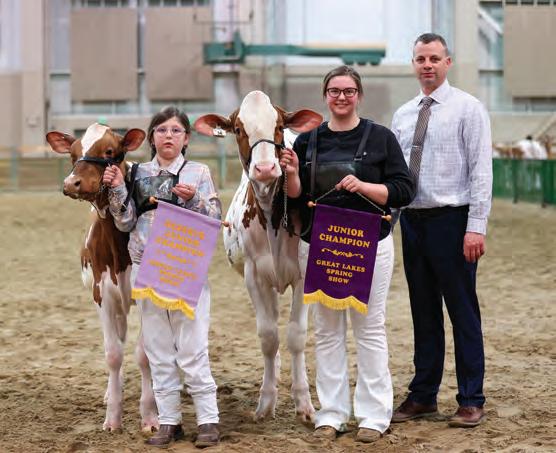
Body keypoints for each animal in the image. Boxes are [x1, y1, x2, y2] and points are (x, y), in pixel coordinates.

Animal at [46, 123, 158, 433]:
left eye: (109, 151)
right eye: (73, 153)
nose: (72, 183)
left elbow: (144, 354)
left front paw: (150, 416)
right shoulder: (103, 295)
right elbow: (113, 353)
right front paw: (113, 416)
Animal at [194, 91, 322, 422]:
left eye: (277, 126)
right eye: (239, 129)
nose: (265, 169)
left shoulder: (304, 275)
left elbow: (296, 335)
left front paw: (304, 403)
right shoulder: (254, 276)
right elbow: (267, 336)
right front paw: (266, 402)